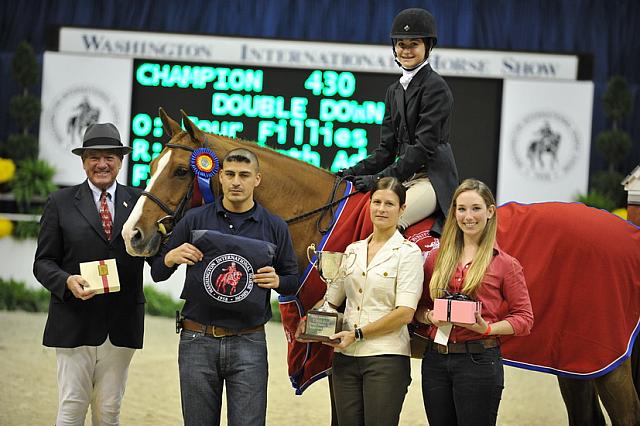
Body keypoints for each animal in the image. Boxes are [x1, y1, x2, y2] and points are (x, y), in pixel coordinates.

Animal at [124, 110, 640, 426]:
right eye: (152, 163)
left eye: (182, 171)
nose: (133, 235)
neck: (318, 220)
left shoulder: (330, 348)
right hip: (575, 364)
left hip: (610, 365)